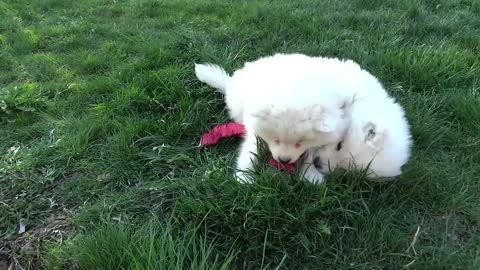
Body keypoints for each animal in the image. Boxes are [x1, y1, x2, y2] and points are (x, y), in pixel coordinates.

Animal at [197, 52, 388, 184]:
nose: (283, 161)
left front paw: (310, 175)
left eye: (300, 142)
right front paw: (244, 176)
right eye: (275, 139)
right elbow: (250, 149)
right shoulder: (253, 127)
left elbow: (310, 153)